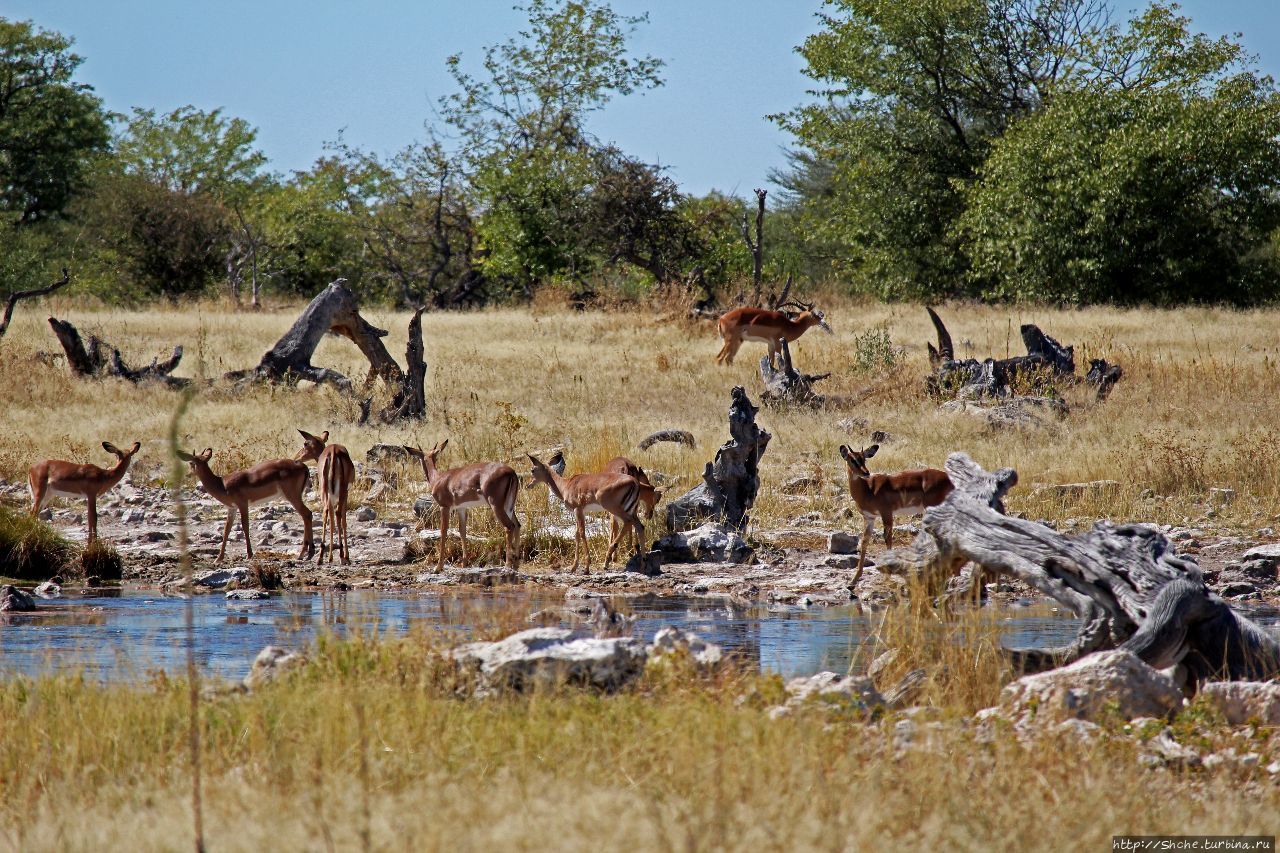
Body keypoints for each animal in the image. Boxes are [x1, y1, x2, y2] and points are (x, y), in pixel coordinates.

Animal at [175, 440, 312, 560]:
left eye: (191, 463)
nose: (187, 475)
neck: (222, 484)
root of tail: (303, 467)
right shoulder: (232, 508)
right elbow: (227, 529)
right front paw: (218, 558)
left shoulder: (243, 504)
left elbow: (245, 526)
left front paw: (249, 554)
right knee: (308, 514)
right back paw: (310, 553)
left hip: (292, 496)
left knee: (307, 514)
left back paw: (302, 554)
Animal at [294, 427, 355, 560]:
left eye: (305, 444)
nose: (295, 458)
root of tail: (333, 452)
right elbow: (343, 519)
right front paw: (345, 555)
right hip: (338, 491)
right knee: (336, 513)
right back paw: (338, 556)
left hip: (326, 490)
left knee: (327, 512)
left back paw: (322, 556)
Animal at [401, 438, 517, 571]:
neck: (438, 478)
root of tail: (511, 472)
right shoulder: (461, 508)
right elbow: (462, 531)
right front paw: (464, 563)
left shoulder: (444, 507)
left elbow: (443, 532)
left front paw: (438, 567)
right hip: (509, 506)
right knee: (517, 525)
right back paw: (516, 563)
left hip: (496, 505)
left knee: (509, 526)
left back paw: (508, 565)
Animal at [839, 445, 952, 578]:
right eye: (852, 459)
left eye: (864, 459)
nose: (866, 473)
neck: (868, 490)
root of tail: (948, 479)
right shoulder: (869, 517)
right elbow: (864, 542)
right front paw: (855, 578)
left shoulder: (886, 513)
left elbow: (887, 539)